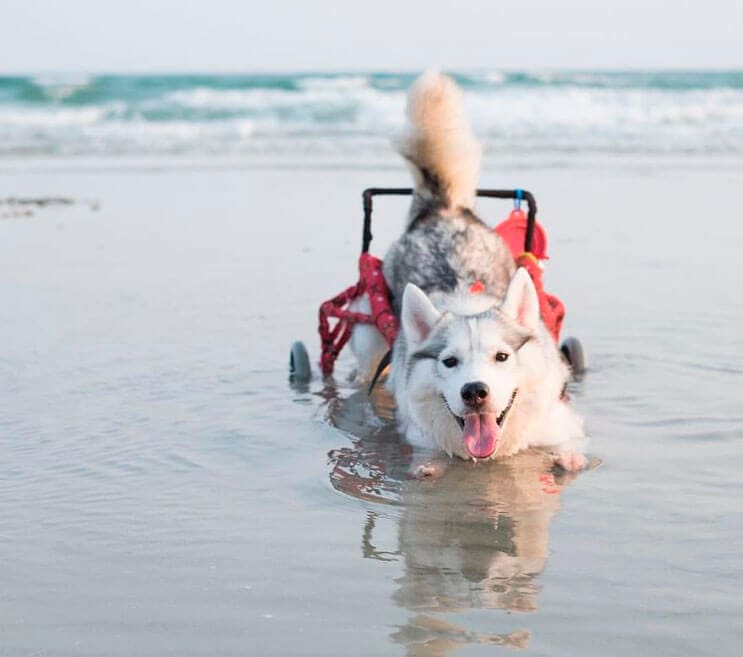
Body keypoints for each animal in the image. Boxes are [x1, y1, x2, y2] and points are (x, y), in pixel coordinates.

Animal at [354, 70, 588, 472]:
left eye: (502, 357)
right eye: (449, 362)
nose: (475, 391)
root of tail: (443, 209)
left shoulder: (559, 417)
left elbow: (570, 439)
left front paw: (569, 457)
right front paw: (428, 466)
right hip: (370, 332)